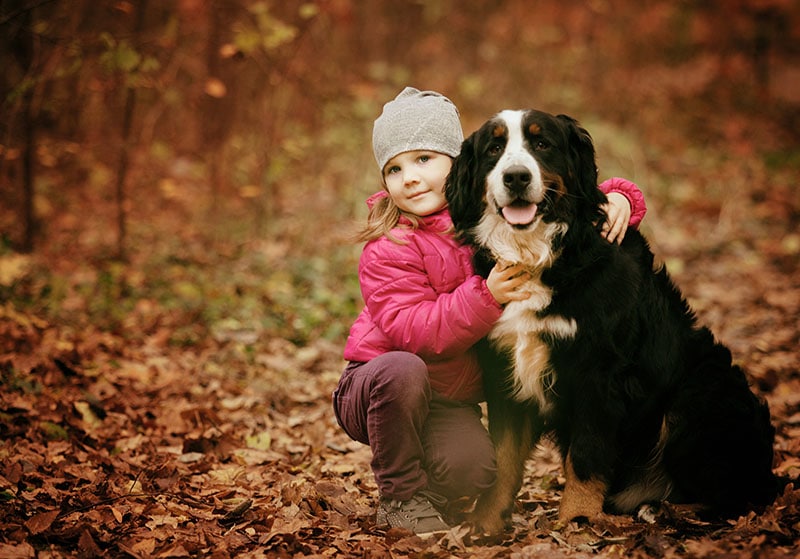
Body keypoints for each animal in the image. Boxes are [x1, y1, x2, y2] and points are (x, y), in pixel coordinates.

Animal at [444, 108, 776, 532]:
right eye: (494, 148)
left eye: (541, 143)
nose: (516, 177)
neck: (540, 255)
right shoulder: (506, 368)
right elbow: (502, 457)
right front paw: (485, 523)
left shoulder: (599, 371)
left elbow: (586, 456)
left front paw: (577, 521)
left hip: (698, 394)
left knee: (738, 496)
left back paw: (663, 509)